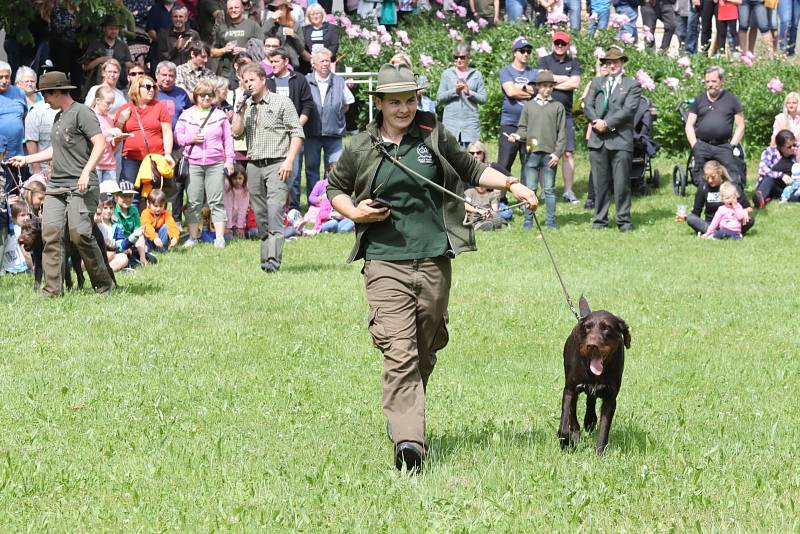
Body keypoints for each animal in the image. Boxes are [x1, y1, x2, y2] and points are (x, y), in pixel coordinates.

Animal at [556, 298, 632, 456]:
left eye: (606, 328)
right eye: (587, 327)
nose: (592, 345)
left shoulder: (610, 398)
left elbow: (604, 429)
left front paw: (600, 453)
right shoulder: (569, 390)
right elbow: (565, 422)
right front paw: (566, 442)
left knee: (591, 400)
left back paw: (589, 421)